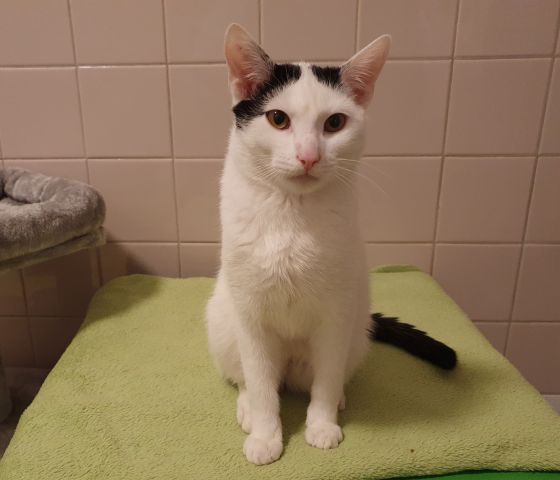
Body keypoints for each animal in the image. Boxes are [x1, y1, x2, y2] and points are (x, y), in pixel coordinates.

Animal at [206, 23, 456, 466]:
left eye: (335, 123)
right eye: (278, 119)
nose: (309, 156)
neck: (292, 213)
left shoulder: (336, 314)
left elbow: (325, 380)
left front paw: (321, 425)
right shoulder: (251, 315)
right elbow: (261, 384)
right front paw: (267, 435)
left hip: (356, 331)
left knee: (328, 374)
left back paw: (336, 399)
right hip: (223, 321)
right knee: (248, 377)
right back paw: (248, 407)